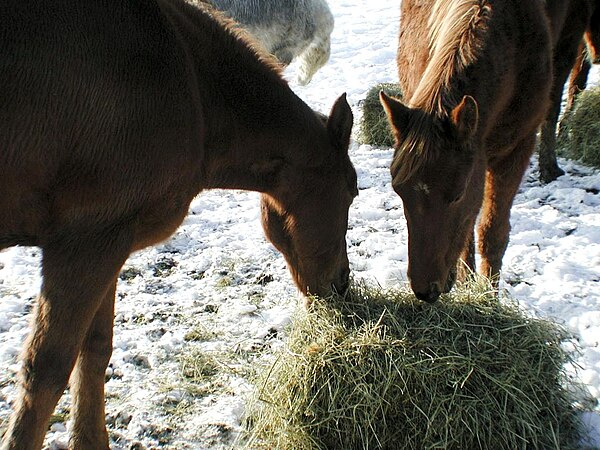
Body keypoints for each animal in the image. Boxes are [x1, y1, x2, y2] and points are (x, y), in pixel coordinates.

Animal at [0, 1, 356, 448]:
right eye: (351, 191)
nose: (342, 283)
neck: (193, 87)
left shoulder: (111, 244)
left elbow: (95, 350)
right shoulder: (85, 244)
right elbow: (45, 373)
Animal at [382, 0, 552, 304]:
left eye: (458, 194)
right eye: (399, 191)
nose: (424, 290)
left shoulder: (518, 150)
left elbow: (493, 234)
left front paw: (490, 299)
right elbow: (466, 236)